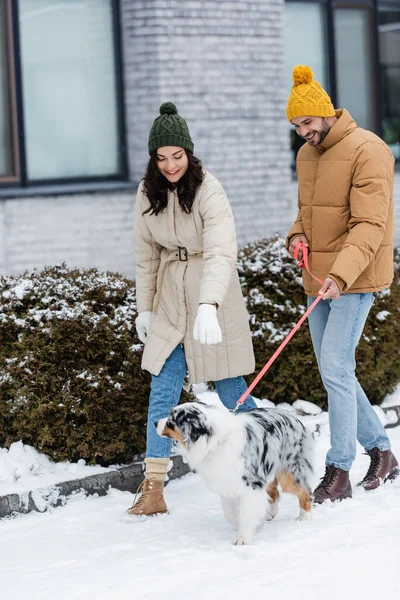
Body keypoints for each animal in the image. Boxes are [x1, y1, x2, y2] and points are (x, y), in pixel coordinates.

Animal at [155, 404, 314, 544]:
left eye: (170, 421)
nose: (155, 423)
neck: (215, 441)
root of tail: (293, 416)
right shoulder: (227, 483)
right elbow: (230, 513)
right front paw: (244, 524)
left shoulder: (251, 484)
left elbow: (246, 513)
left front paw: (243, 538)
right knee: (273, 491)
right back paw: (271, 513)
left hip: (289, 472)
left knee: (304, 491)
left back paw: (305, 516)